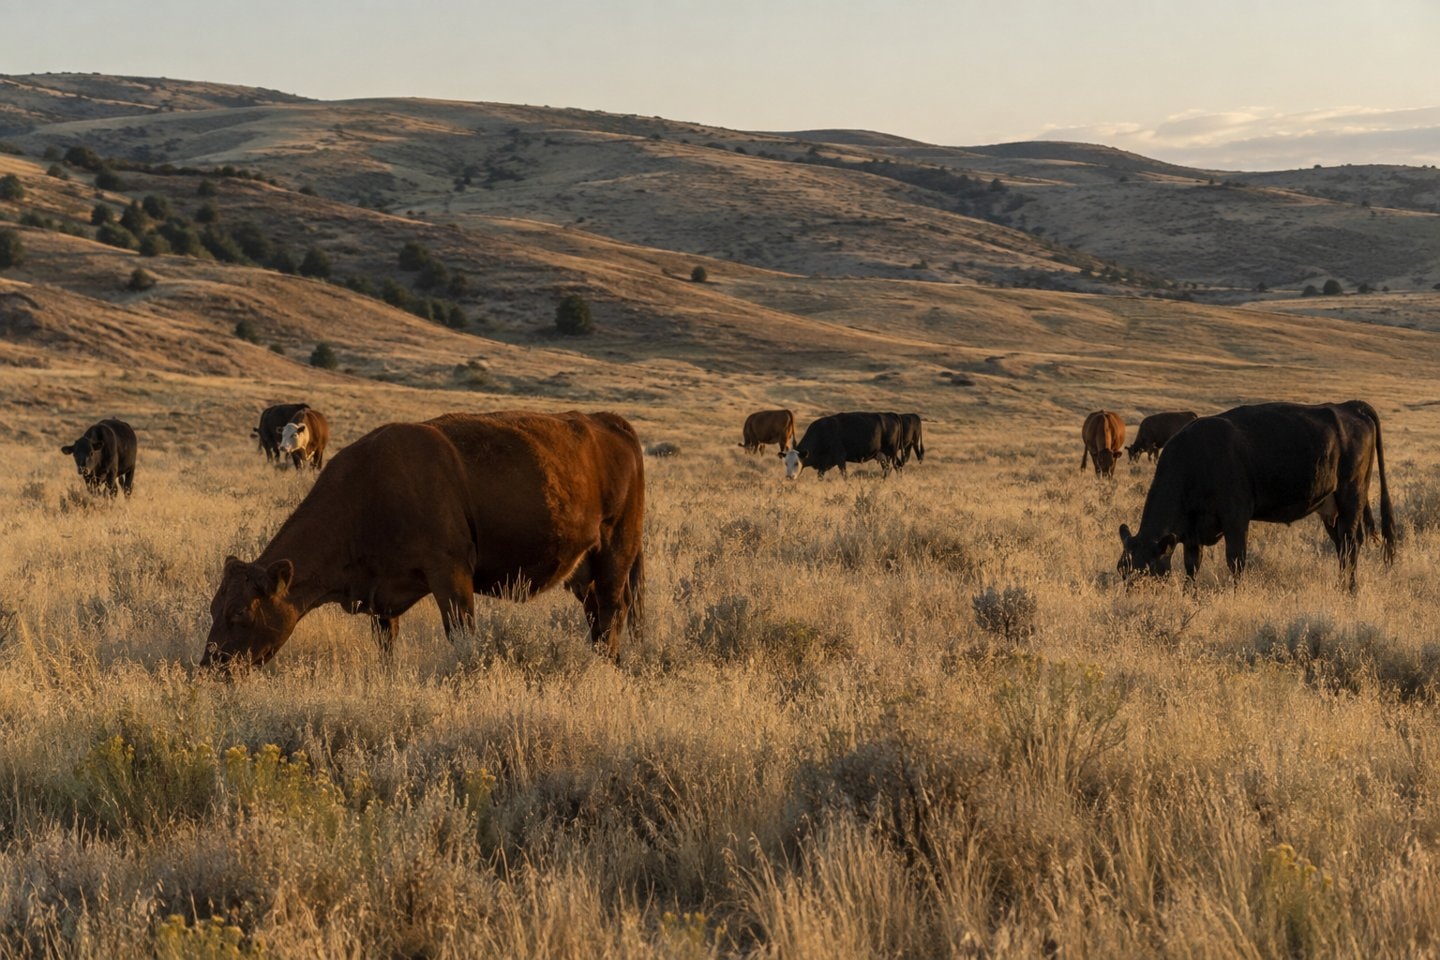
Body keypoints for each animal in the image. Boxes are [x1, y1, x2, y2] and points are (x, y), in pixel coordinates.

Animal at [202, 410, 645, 669]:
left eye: (239, 612)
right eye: (213, 607)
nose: (211, 665)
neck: (368, 493)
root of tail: (611, 422)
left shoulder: (450, 575)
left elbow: (460, 634)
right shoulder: (382, 596)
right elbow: (386, 645)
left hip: (615, 551)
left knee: (612, 610)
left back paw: (606, 665)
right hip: (582, 569)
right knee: (598, 613)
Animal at [1117, 400, 1395, 591]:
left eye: (1147, 571)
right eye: (1122, 569)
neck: (1195, 458)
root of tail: (1349, 407)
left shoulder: (1236, 518)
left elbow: (1236, 560)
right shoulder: (1193, 532)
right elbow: (1191, 566)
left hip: (1351, 496)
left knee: (1350, 545)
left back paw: (1349, 591)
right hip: (1330, 509)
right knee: (1342, 547)